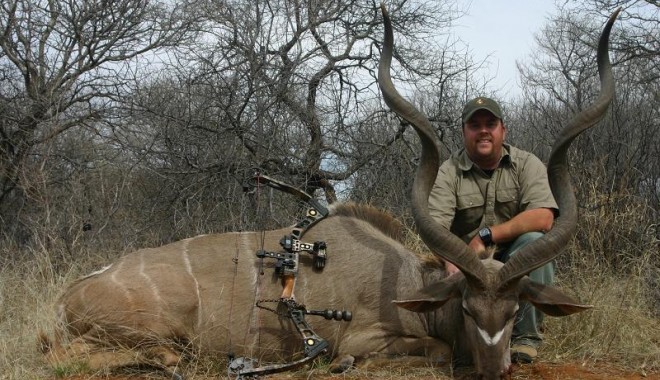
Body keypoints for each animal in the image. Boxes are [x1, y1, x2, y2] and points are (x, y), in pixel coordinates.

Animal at [41, 3, 620, 380]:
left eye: (515, 310)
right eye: (471, 312)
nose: (496, 372)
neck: (411, 283)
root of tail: (68, 297)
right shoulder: (367, 333)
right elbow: (427, 350)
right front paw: (343, 362)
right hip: (146, 333)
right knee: (70, 354)